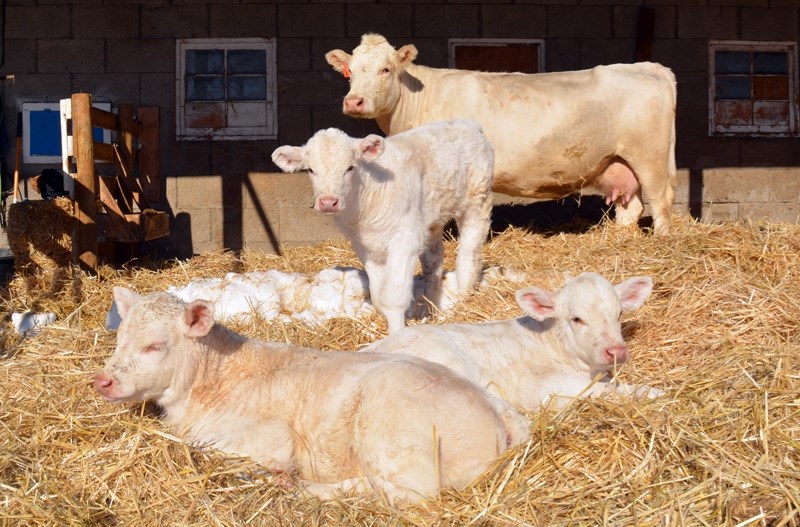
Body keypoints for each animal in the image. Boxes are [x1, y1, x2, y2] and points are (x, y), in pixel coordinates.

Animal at [95, 286, 532, 502]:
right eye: (120, 337)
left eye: (154, 346)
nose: (103, 381)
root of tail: (498, 412)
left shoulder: (269, 441)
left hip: (397, 439)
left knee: (406, 492)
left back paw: (301, 487)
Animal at [324, 34, 676, 235]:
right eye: (349, 72)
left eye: (386, 69)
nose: (354, 101)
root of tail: (648, 67)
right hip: (619, 162)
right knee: (631, 208)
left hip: (650, 158)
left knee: (660, 201)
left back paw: (662, 240)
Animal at [364, 272, 664, 412]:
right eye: (576, 318)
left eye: (619, 313)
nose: (617, 350)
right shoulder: (550, 388)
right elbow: (611, 391)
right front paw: (656, 393)